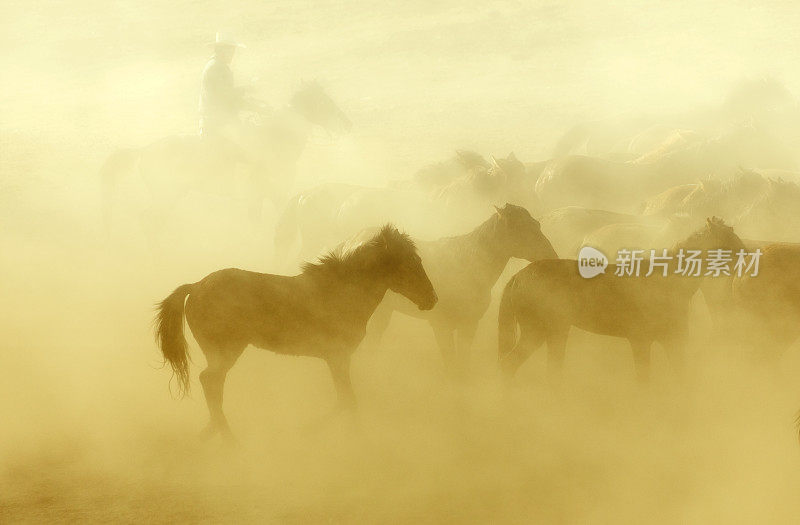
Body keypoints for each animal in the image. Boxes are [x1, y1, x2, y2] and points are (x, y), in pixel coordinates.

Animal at [101, 82, 350, 246]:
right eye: (322, 102)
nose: (346, 123)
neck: (275, 141)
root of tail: (143, 150)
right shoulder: (262, 196)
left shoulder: (273, 196)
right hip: (167, 196)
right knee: (149, 221)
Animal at [155, 223, 438, 440]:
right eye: (410, 262)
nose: (432, 299)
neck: (342, 291)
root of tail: (195, 286)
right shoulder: (338, 357)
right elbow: (347, 400)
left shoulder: (338, 358)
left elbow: (345, 400)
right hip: (225, 352)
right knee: (210, 382)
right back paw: (228, 439)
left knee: (213, 386)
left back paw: (211, 433)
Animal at [496, 216, 748, 380]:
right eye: (728, 237)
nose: (749, 255)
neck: (668, 280)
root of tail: (517, 277)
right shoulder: (641, 341)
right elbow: (645, 381)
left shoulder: (672, 341)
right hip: (541, 331)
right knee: (511, 365)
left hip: (553, 332)